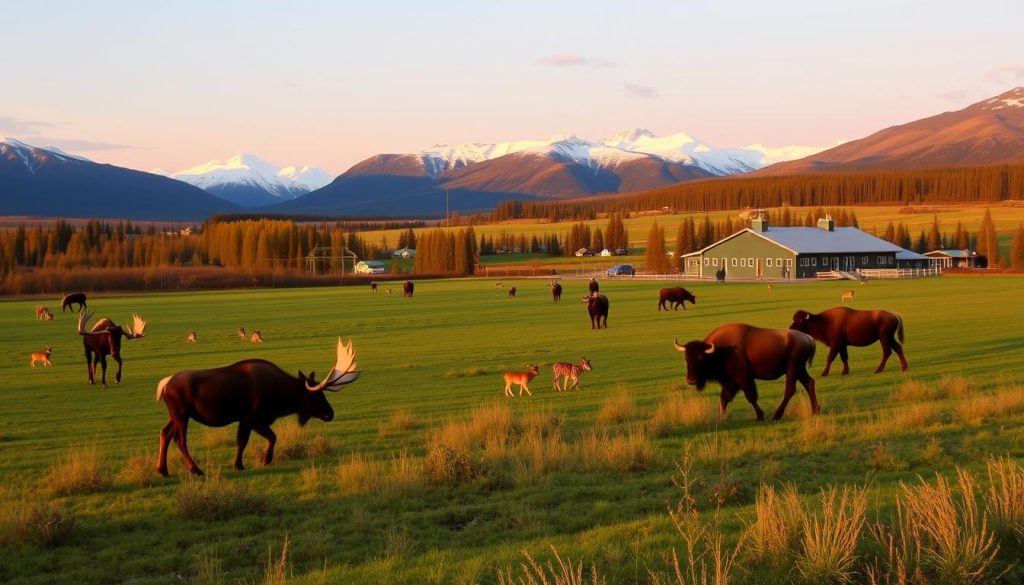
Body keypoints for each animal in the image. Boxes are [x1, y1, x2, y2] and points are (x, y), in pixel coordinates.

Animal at [151, 336, 360, 477]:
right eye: (316, 395)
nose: (330, 413)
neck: (282, 399)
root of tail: (164, 385)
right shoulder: (251, 418)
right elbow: (253, 440)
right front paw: (254, 462)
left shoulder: (254, 420)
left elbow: (265, 438)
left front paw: (254, 461)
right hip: (181, 413)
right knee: (179, 440)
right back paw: (195, 469)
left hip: (175, 415)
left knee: (165, 432)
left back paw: (162, 470)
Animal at [667, 325, 819, 422]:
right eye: (686, 357)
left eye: (700, 357)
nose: (691, 380)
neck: (721, 350)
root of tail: (808, 338)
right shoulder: (729, 383)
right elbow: (724, 398)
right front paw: (720, 418)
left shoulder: (744, 378)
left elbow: (750, 396)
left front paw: (760, 416)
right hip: (799, 369)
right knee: (809, 383)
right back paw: (815, 411)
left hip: (792, 368)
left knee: (790, 390)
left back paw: (776, 415)